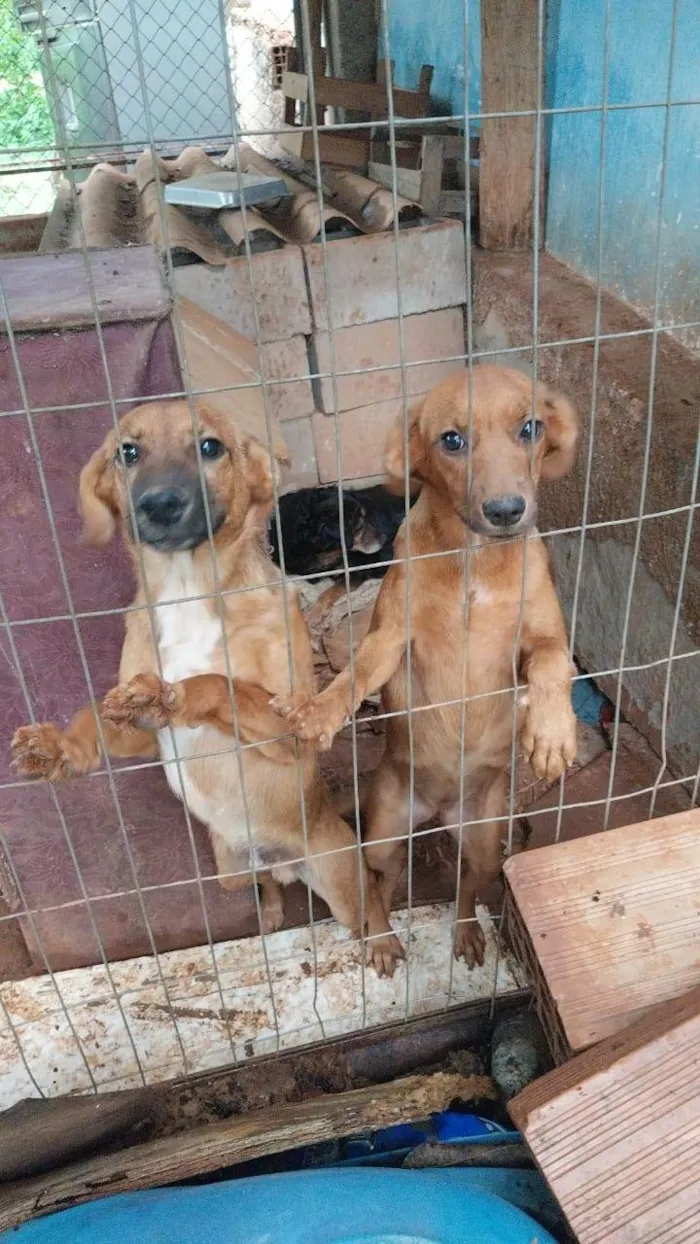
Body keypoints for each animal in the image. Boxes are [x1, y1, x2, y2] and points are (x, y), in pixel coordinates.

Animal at [13, 398, 402, 970]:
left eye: (210, 446)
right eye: (127, 452)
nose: (159, 504)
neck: (187, 591)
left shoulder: (294, 727)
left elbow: (219, 682)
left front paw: (173, 692)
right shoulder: (134, 733)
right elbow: (93, 716)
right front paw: (57, 749)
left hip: (341, 883)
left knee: (370, 895)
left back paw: (382, 941)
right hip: (228, 872)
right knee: (263, 881)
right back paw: (270, 907)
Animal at [274, 363, 581, 975]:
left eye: (531, 428)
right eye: (451, 440)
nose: (507, 511)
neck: (473, 557)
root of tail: (439, 810)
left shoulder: (540, 637)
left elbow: (552, 663)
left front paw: (552, 733)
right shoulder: (390, 636)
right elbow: (354, 675)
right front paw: (320, 712)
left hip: (487, 841)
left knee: (466, 886)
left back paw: (466, 933)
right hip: (383, 832)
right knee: (381, 886)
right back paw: (382, 939)